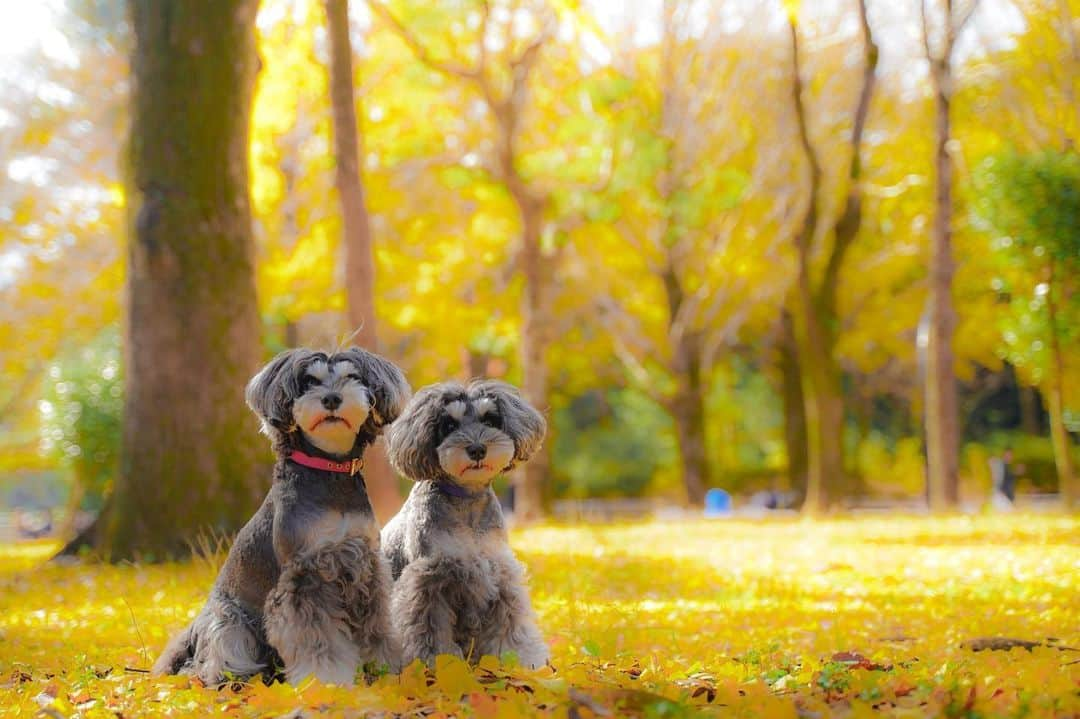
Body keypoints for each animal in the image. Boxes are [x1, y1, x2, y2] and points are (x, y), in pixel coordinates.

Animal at [150, 345, 406, 682]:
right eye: (309, 381)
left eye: (352, 376)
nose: (332, 398)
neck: (329, 471)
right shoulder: (305, 575)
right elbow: (318, 640)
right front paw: (324, 682)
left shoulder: (366, 566)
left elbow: (377, 628)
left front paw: (389, 671)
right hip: (229, 619)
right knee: (209, 662)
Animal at [380, 380, 548, 665]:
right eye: (449, 425)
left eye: (489, 419)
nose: (477, 449)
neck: (466, 500)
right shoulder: (429, 579)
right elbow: (429, 627)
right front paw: (436, 662)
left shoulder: (500, 571)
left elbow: (510, 621)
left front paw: (522, 660)